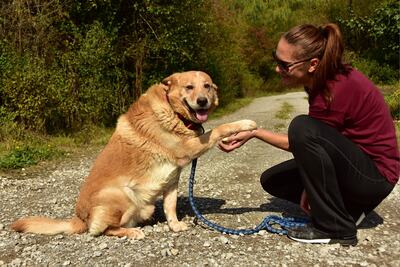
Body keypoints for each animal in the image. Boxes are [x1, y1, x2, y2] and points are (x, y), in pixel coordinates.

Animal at [12, 70, 258, 240]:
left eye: (207, 86)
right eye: (189, 87)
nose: (202, 101)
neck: (173, 112)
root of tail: (79, 218)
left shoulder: (172, 180)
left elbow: (170, 207)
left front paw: (174, 226)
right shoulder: (188, 148)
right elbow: (219, 129)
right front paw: (245, 124)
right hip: (123, 195)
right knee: (101, 230)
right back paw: (131, 233)